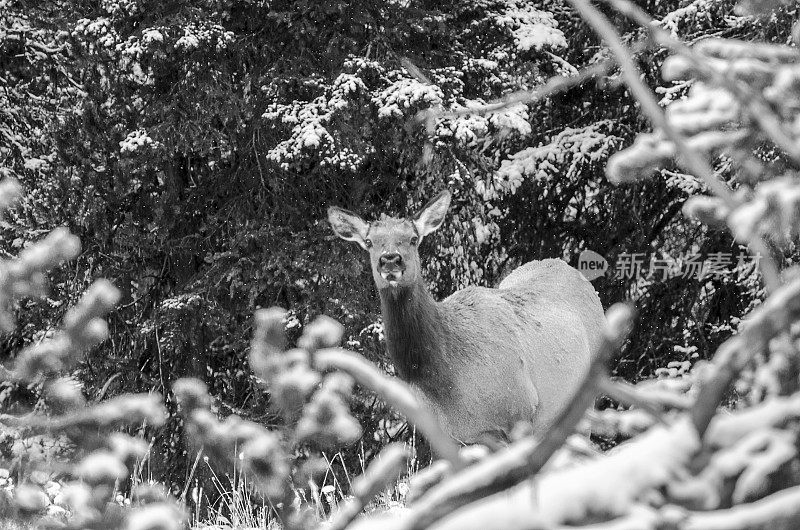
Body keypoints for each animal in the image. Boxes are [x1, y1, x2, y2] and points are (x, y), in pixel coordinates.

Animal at [328, 191, 604, 442]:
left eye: (413, 238)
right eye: (369, 241)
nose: (390, 260)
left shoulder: (520, 411)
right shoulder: (453, 435)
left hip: (585, 397)